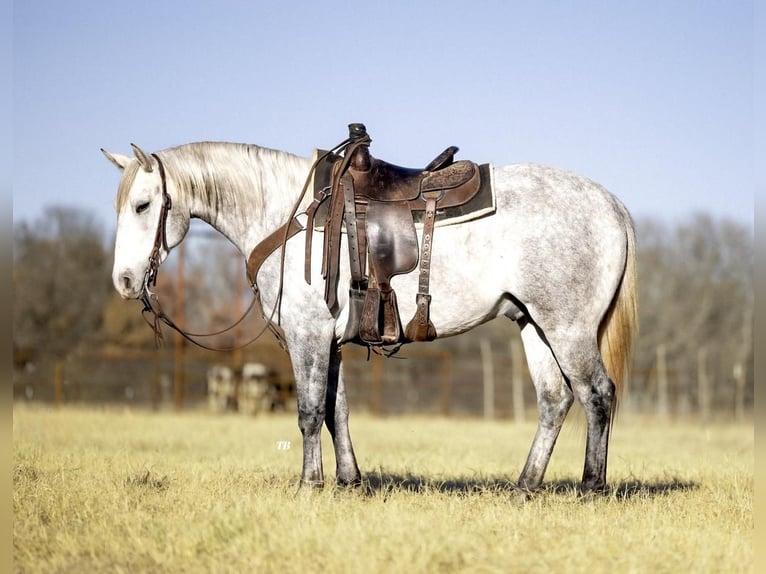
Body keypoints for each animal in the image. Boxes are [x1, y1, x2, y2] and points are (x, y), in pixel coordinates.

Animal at [103, 138, 640, 496]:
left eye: (143, 205)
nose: (125, 281)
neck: (290, 217)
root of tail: (611, 204)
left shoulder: (308, 336)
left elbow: (309, 412)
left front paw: (308, 485)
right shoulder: (331, 342)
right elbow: (335, 411)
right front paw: (349, 481)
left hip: (567, 327)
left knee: (597, 394)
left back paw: (591, 486)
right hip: (533, 323)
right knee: (555, 400)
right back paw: (524, 486)